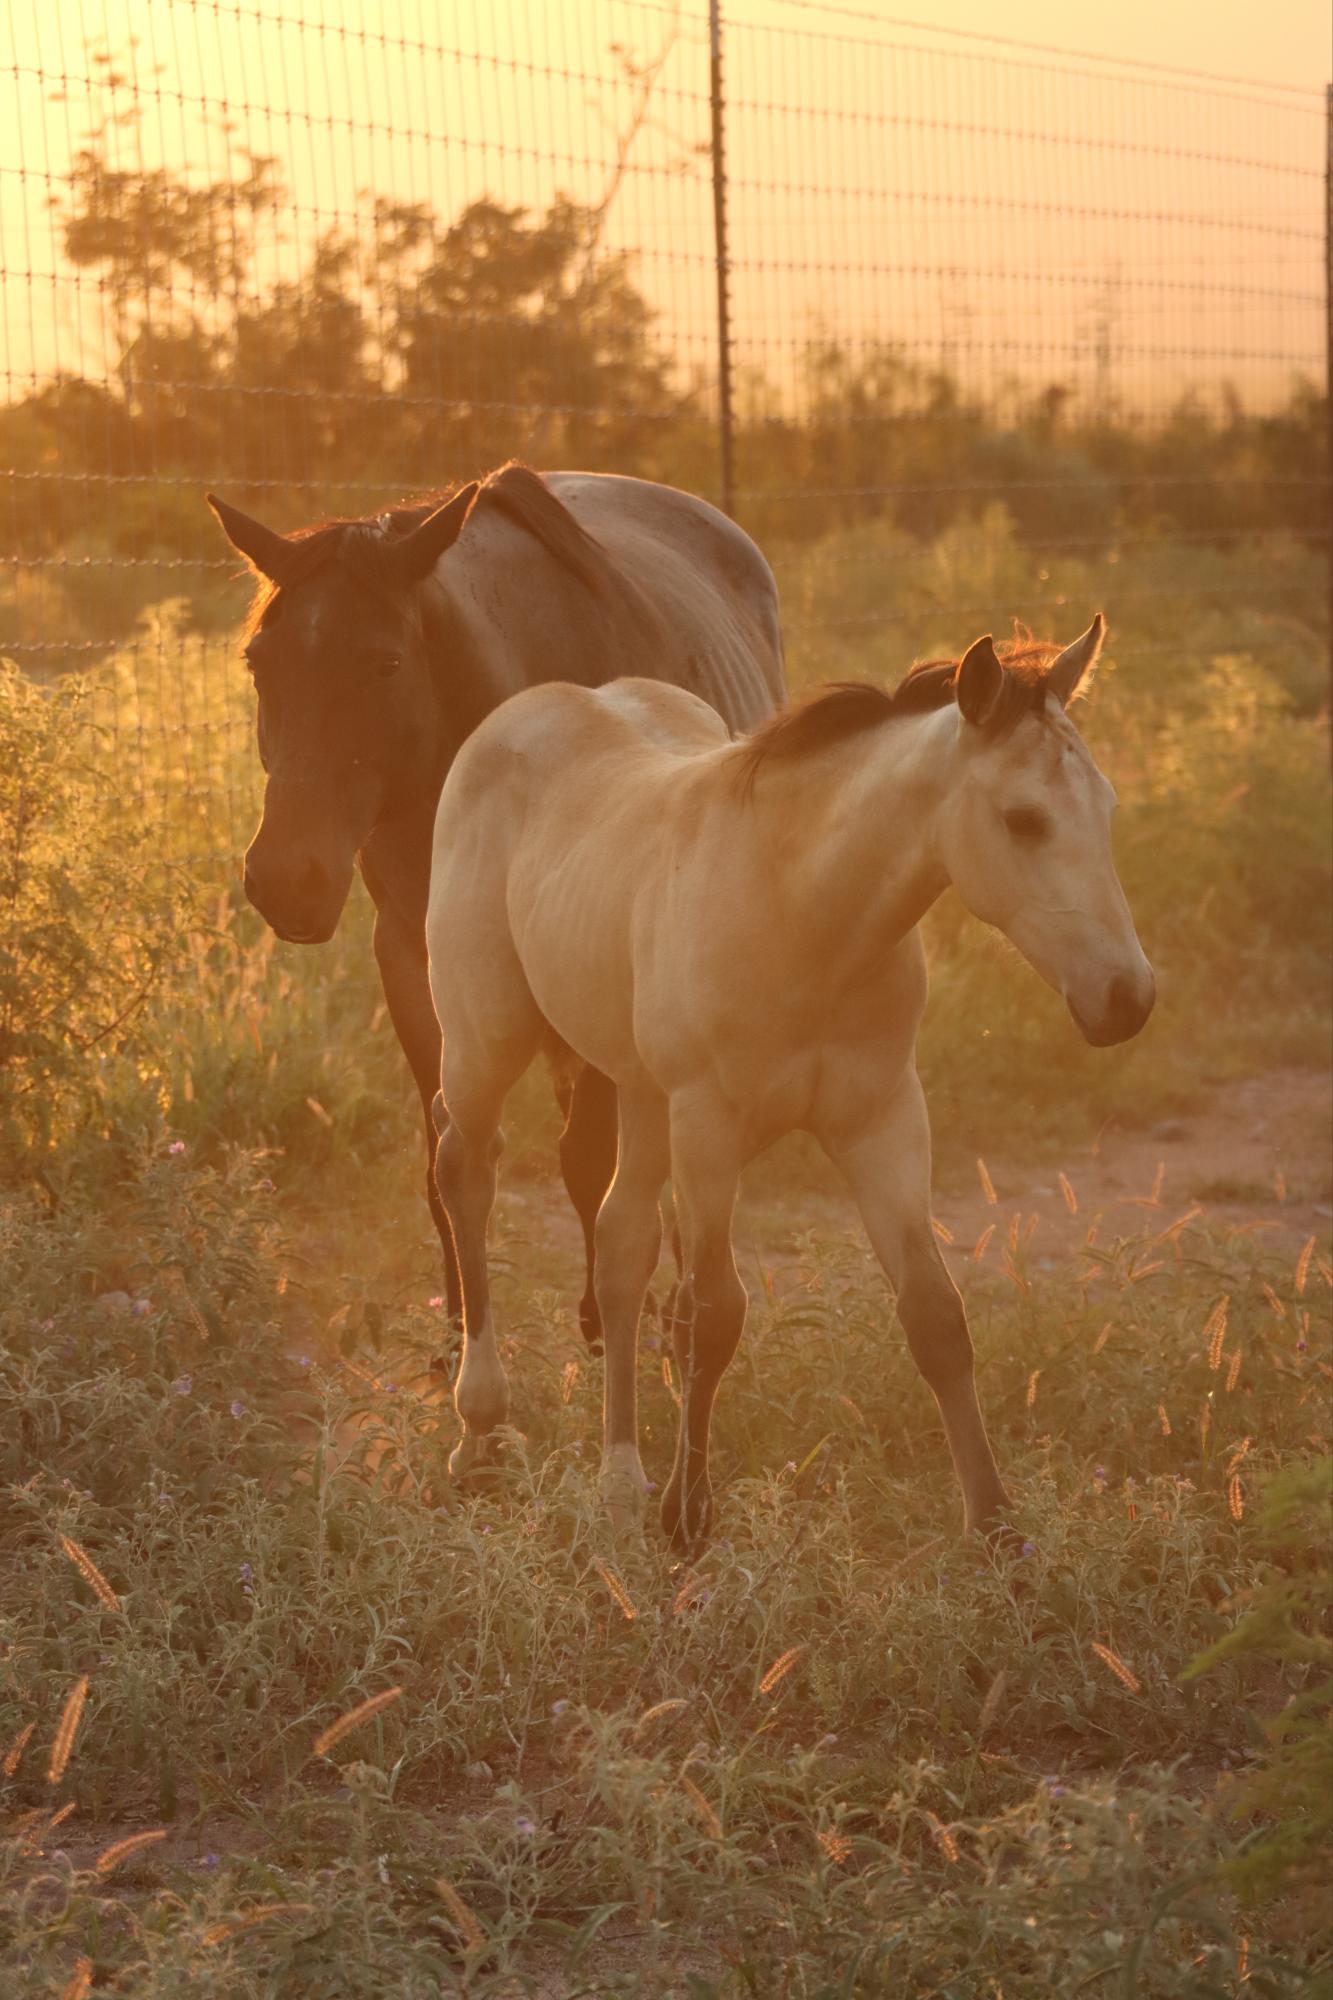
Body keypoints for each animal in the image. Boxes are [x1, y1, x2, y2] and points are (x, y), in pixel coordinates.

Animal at [206, 464, 784, 1344]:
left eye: (385, 663)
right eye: (257, 663)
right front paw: (455, 1332)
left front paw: (602, 1319)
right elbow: (445, 1152)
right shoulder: (412, 959)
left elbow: (587, 1159)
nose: (285, 878)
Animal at [426, 612, 1152, 1544]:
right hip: (485, 1039)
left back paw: (617, 1478)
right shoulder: (708, 1125)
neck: (801, 910)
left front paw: (995, 1528)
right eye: (1021, 819)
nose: (1125, 998)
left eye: (1106, 808)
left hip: (639, 1090)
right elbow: (711, 1313)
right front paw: (688, 1517)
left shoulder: (881, 1118)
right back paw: (480, 1425)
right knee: (465, 1172)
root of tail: (524, 712)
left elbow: (934, 1314)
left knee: (620, 1241)